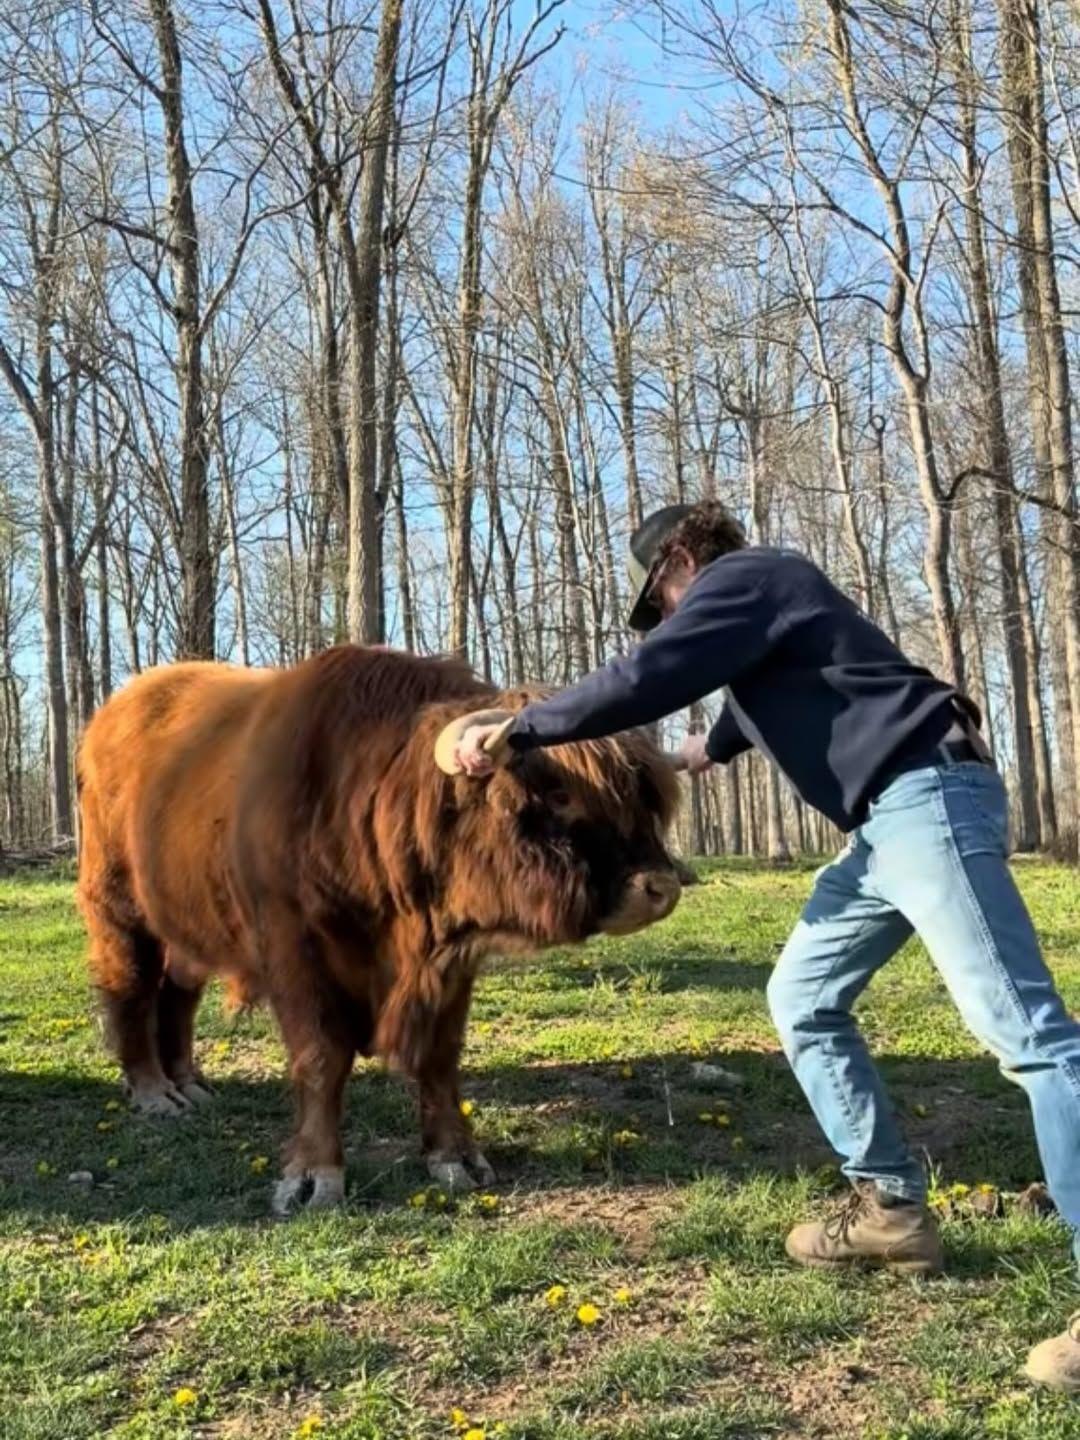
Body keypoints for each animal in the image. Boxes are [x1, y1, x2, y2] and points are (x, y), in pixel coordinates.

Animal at [76, 645, 682, 1212]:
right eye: (559, 795)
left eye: (640, 799)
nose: (660, 887)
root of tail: (110, 715)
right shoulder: (296, 949)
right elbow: (321, 1058)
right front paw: (314, 1177)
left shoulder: (450, 963)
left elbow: (440, 1056)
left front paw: (456, 1156)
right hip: (118, 908)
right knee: (131, 988)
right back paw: (155, 1093)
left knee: (178, 994)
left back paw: (189, 1084)